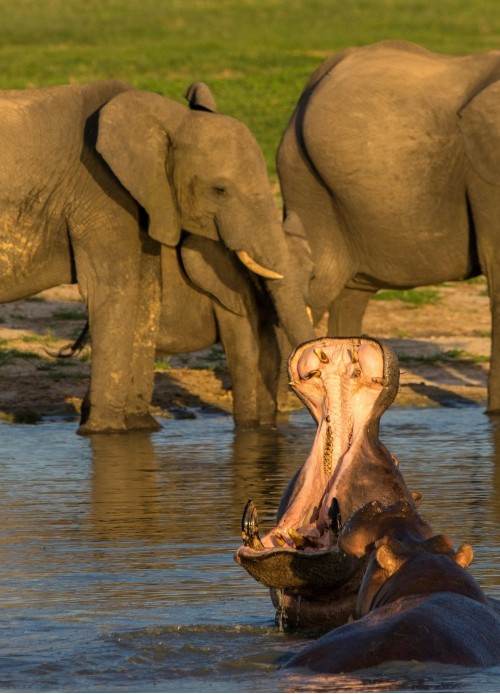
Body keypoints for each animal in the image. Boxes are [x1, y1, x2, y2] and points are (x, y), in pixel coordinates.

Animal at [0, 79, 312, 432]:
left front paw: (141, 428)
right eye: (220, 190)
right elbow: (114, 289)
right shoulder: (99, 190)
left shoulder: (144, 199)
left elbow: (147, 294)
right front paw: (105, 432)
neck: (167, 119)